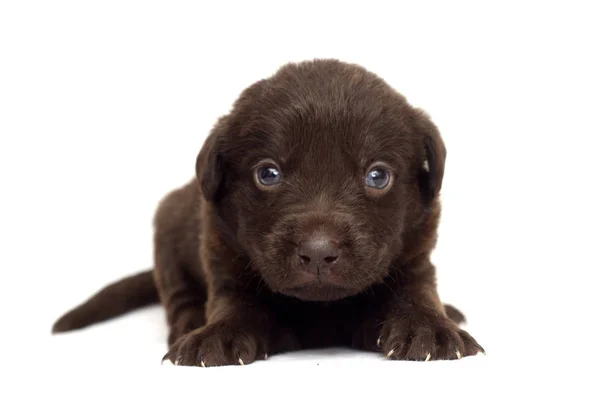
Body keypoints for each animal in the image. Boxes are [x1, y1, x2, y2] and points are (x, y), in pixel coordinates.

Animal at [50, 57, 482, 368]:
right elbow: (236, 304)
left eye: (378, 176)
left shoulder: (415, 259)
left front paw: (431, 328)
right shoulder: (223, 261)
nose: (319, 252)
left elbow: (416, 293)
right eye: (268, 174)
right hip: (168, 230)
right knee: (178, 295)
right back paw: (189, 324)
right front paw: (218, 335)